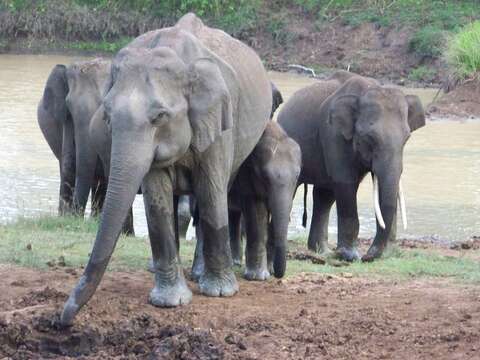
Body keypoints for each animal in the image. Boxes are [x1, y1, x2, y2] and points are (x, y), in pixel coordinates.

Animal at [58, 13, 272, 326]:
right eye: (107, 116)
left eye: (160, 116)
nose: (62, 319)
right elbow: (157, 199)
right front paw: (170, 302)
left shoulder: (220, 121)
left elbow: (211, 191)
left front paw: (221, 293)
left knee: (216, 192)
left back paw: (201, 276)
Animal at [276, 71, 426, 262]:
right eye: (370, 138)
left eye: (407, 138)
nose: (367, 256)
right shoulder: (333, 134)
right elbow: (346, 183)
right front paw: (350, 256)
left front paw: (385, 254)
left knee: (324, 196)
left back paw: (322, 252)